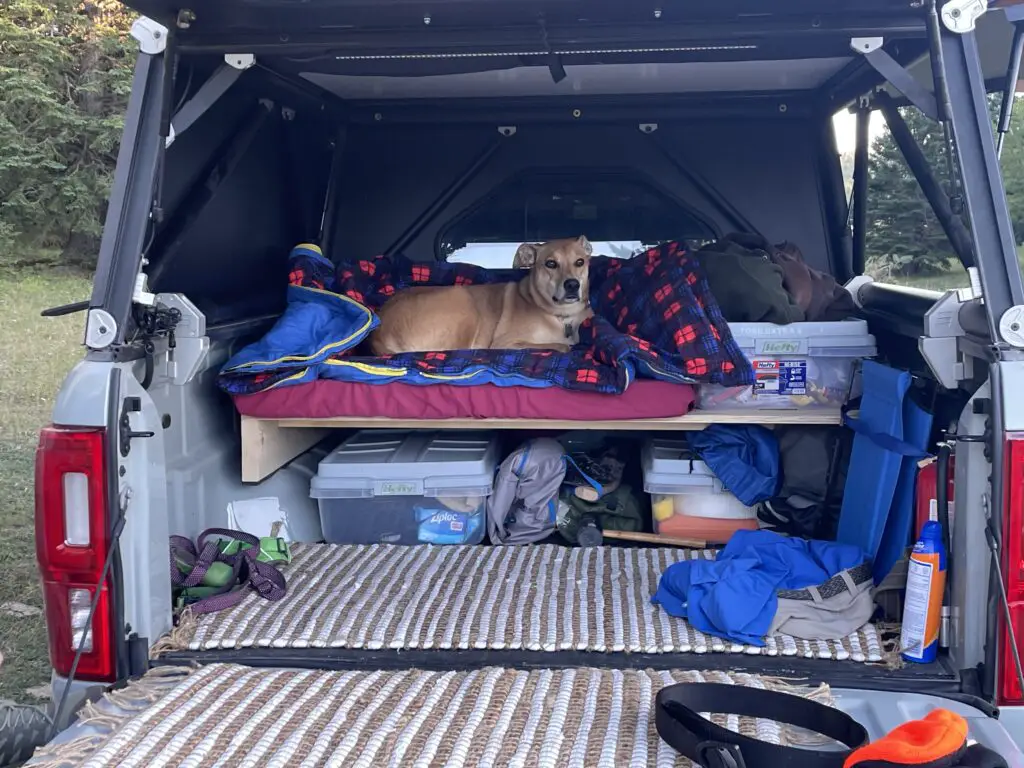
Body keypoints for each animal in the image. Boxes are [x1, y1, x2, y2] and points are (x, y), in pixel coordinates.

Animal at [368, 236, 593, 356]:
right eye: (551, 263)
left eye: (580, 262)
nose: (572, 285)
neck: (562, 316)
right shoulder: (506, 343)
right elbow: (560, 346)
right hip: (463, 301)